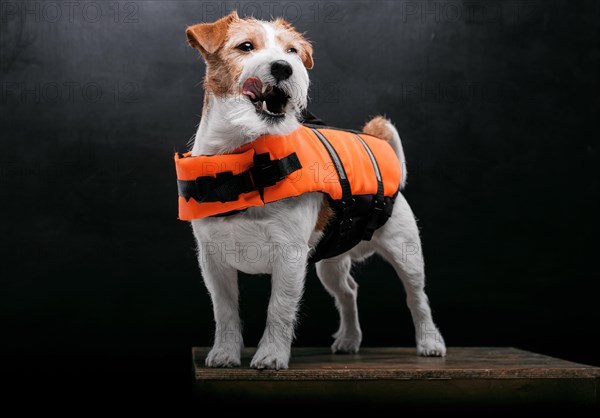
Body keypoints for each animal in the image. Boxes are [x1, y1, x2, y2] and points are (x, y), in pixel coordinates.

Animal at [184, 11, 446, 370]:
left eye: (292, 51)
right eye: (246, 46)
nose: (284, 67)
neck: (243, 160)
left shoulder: (290, 256)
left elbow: (279, 309)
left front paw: (271, 354)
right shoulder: (213, 260)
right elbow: (224, 310)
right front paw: (225, 352)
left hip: (405, 251)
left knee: (417, 296)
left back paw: (429, 342)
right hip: (330, 261)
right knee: (348, 291)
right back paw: (349, 339)